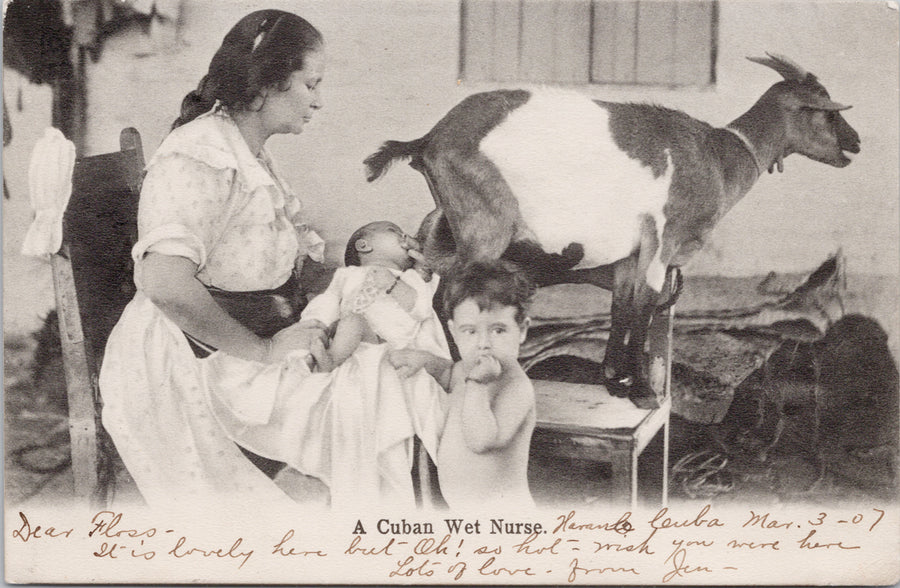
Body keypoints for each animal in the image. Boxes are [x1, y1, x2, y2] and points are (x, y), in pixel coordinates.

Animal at [362, 52, 860, 406]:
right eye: (827, 112)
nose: (855, 143)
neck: (718, 157)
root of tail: (429, 139)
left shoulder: (628, 258)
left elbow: (622, 308)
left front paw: (613, 380)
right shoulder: (663, 243)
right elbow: (645, 308)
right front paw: (641, 390)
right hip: (484, 230)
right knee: (446, 299)